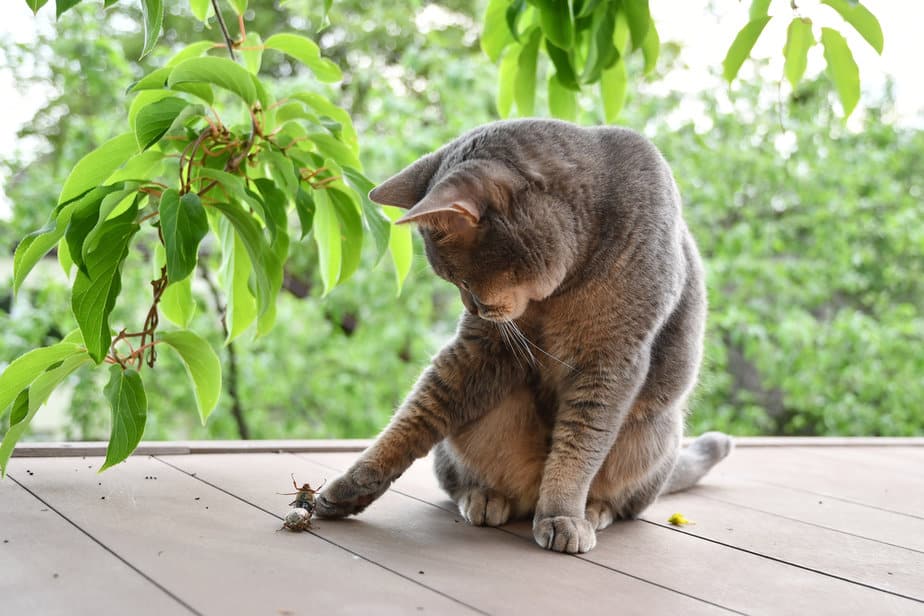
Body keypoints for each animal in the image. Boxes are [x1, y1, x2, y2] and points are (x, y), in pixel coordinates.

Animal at [314, 120, 732, 552]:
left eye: (461, 279)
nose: (471, 308)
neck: (564, 286)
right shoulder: (485, 347)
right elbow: (415, 416)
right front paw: (350, 488)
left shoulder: (612, 358)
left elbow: (582, 443)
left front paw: (563, 514)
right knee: (459, 469)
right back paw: (484, 497)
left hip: (652, 433)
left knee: (623, 500)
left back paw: (593, 510)